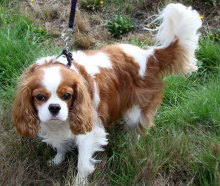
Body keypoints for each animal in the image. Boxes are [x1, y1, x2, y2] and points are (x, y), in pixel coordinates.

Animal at [12, 2, 201, 185]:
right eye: (40, 97)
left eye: (67, 96)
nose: (54, 108)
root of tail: (150, 56)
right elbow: (60, 145)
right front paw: (57, 159)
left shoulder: (88, 130)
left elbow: (82, 163)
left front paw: (79, 182)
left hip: (135, 111)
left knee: (138, 129)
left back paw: (131, 146)